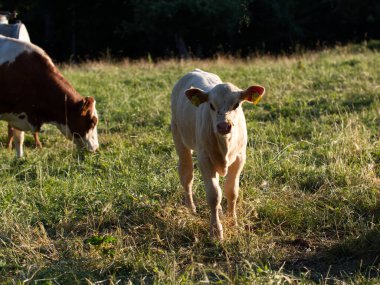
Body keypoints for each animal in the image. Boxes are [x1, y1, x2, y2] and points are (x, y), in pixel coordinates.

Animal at [171, 69, 266, 240]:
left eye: (236, 104)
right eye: (211, 105)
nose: (223, 126)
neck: (225, 143)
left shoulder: (240, 158)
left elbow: (231, 191)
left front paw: (233, 221)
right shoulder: (204, 158)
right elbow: (214, 195)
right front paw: (216, 230)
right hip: (179, 137)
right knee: (186, 175)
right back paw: (191, 208)